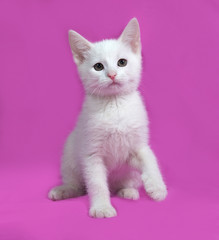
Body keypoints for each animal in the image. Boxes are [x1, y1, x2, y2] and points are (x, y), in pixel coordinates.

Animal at [48, 18, 167, 218]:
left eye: (122, 62)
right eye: (98, 66)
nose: (112, 74)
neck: (115, 105)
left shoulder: (137, 145)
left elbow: (150, 160)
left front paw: (157, 187)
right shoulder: (91, 154)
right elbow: (96, 184)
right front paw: (102, 207)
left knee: (124, 183)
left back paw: (128, 191)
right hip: (70, 156)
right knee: (78, 185)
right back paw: (63, 190)